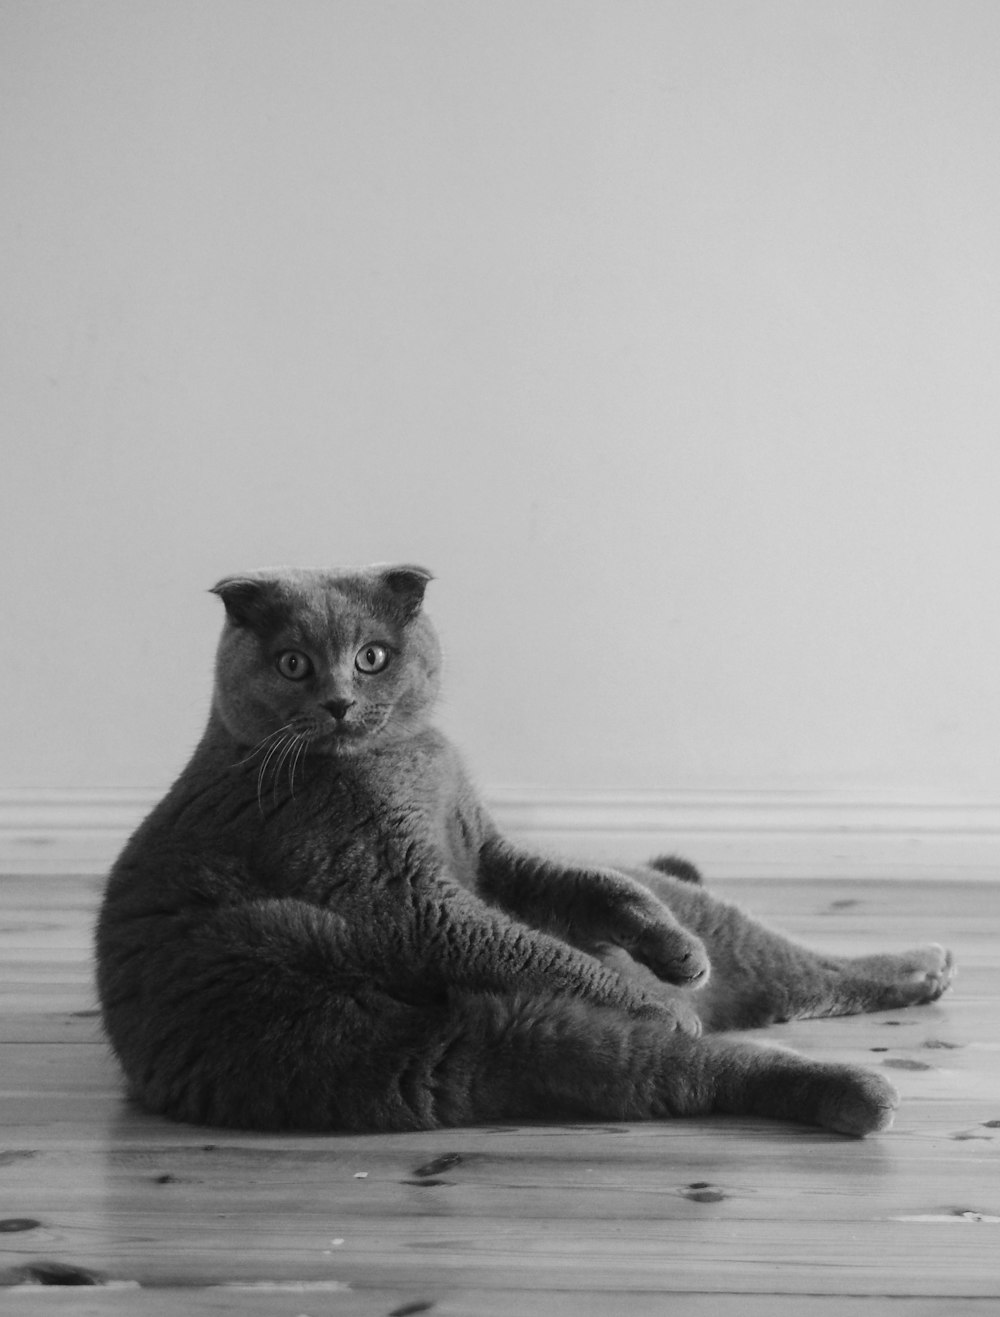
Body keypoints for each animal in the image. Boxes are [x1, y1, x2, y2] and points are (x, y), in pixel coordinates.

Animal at [97, 568, 959, 1143]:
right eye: (292, 664)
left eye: (372, 656)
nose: (339, 701)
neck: (405, 760)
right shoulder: (412, 898)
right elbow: (525, 937)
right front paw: (651, 990)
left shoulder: (487, 851)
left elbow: (581, 884)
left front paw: (672, 953)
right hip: (496, 1039)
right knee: (706, 1057)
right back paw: (844, 1081)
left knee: (801, 969)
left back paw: (912, 967)